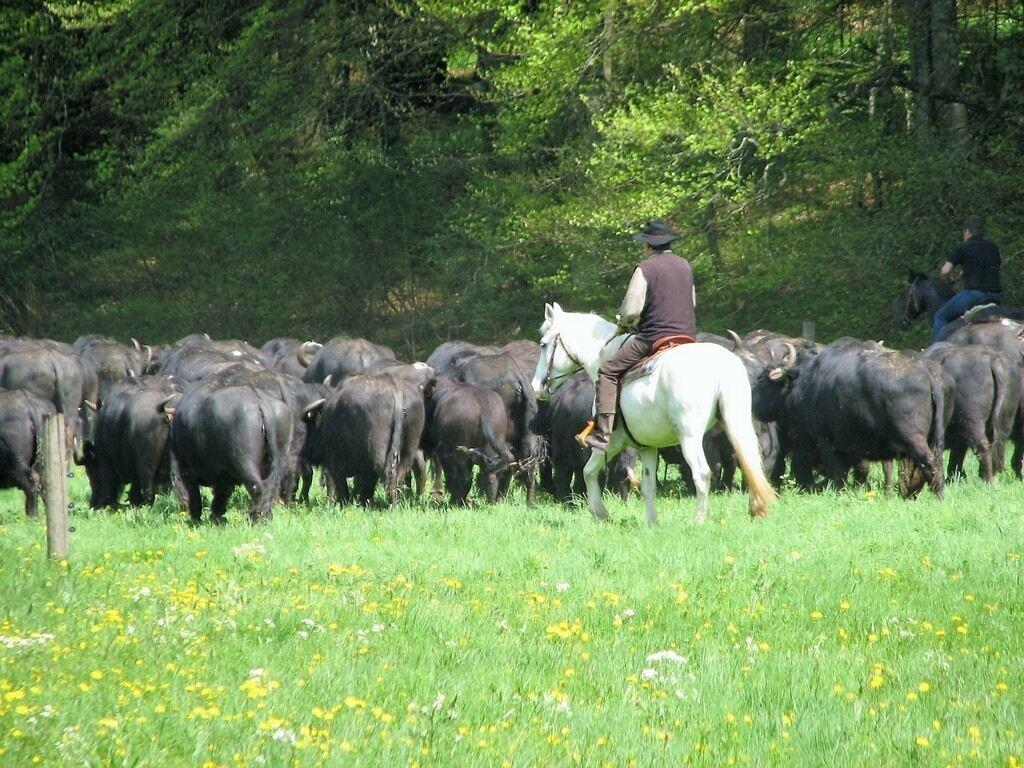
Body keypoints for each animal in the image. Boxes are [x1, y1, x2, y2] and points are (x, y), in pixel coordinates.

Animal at [528, 303, 774, 528]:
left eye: (543, 344)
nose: (536, 386)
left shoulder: (613, 441)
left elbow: (589, 471)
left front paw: (600, 512)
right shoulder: (647, 446)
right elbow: (648, 486)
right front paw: (651, 521)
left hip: (690, 437)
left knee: (703, 473)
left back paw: (699, 520)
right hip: (737, 423)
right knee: (752, 463)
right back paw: (757, 508)